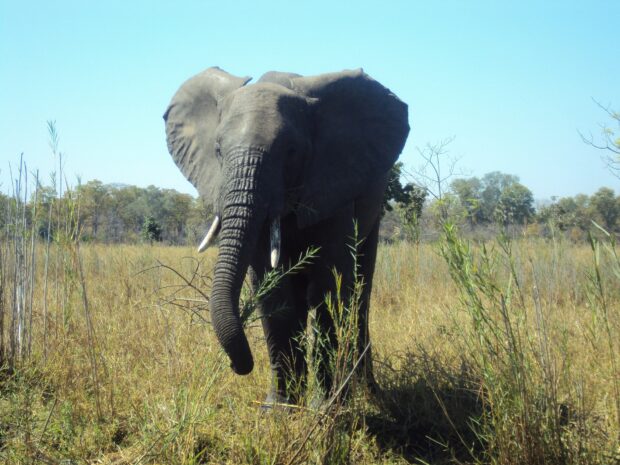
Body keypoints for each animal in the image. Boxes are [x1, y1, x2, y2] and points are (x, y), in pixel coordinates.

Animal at [162, 67, 410, 404]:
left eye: (292, 152)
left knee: (360, 295)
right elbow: (274, 293)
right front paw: (280, 408)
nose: (238, 365)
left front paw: (325, 408)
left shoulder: (331, 185)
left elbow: (329, 286)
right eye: (218, 151)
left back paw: (368, 394)